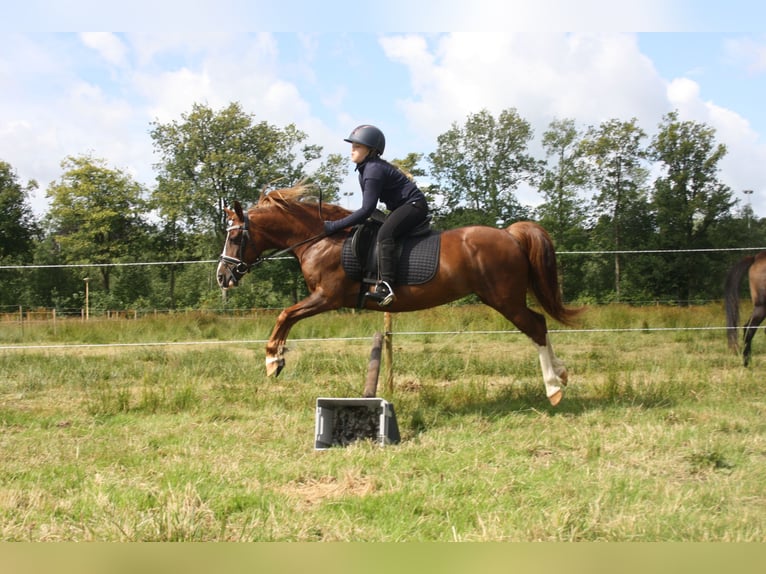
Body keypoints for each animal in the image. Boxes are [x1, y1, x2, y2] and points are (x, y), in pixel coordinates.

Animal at [216, 187, 584, 408]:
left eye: (234, 237)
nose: (223, 276)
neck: (320, 238)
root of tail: (510, 234)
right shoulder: (323, 298)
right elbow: (287, 316)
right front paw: (275, 359)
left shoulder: (327, 297)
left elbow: (285, 315)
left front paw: (272, 360)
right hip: (504, 298)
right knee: (539, 324)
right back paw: (562, 374)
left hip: (504, 298)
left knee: (536, 327)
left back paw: (554, 387)